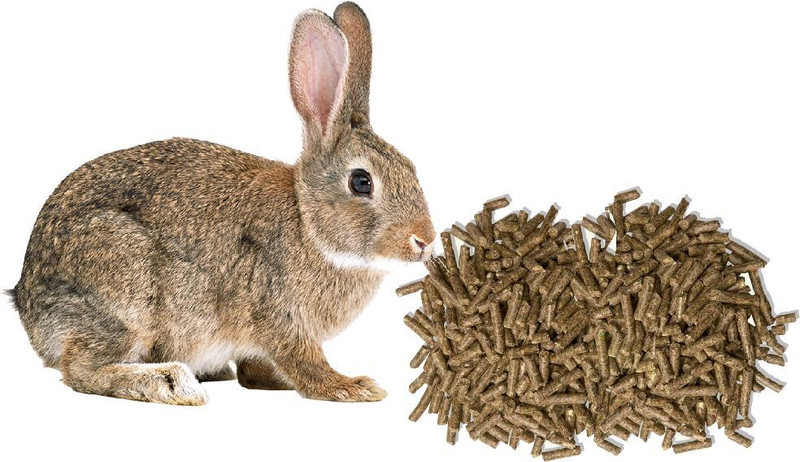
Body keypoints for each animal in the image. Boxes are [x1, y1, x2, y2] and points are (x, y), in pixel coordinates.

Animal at [9, 2, 435, 405]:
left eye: (412, 168)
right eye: (362, 182)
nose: (425, 240)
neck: (308, 224)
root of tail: (27, 302)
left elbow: (257, 370)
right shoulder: (279, 314)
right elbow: (305, 363)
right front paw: (352, 386)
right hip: (125, 288)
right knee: (82, 370)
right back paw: (171, 382)